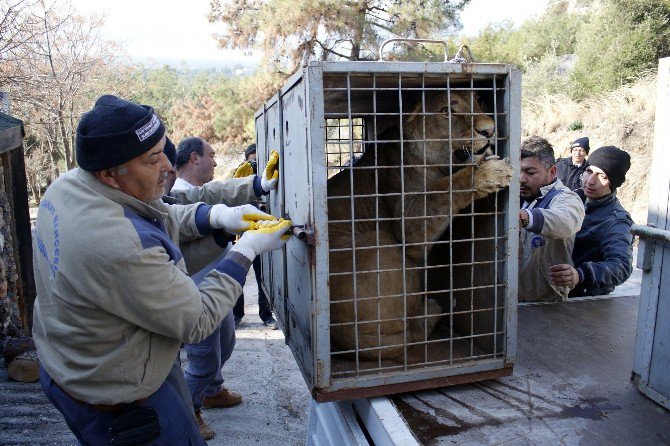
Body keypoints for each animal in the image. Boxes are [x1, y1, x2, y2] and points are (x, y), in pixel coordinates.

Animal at [328, 89, 512, 362]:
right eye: (447, 111)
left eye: (478, 100)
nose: (489, 130)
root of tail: (341, 334)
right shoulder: (409, 222)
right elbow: (443, 190)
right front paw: (486, 173)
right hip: (383, 242)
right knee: (410, 334)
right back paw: (433, 309)